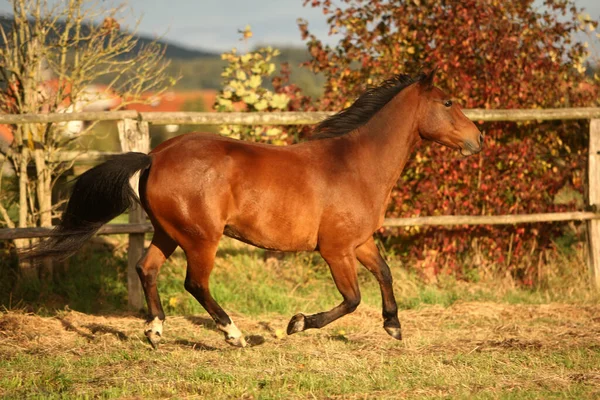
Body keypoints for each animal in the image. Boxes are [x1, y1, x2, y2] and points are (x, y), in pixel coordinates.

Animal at [31, 71, 482, 346]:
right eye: (447, 102)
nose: (478, 138)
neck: (353, 164)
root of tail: (155, 156)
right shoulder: (336, 250)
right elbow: (352, 299)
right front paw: (296, 323)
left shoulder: (359, 242)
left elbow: (384, 274)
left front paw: (393, 326)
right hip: (201, 239)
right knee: (195, 283)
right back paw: (234, 335)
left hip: (169, 233)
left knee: (147, 268)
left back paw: (155, 331)